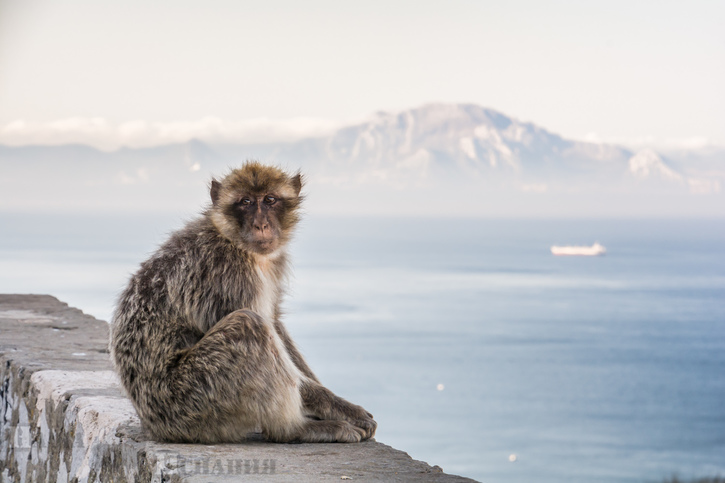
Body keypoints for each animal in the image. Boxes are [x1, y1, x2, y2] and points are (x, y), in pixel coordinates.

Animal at [111, 164, 378, 444]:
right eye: (246, 202)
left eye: (270, 200)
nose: (261, 225)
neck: (235, 242)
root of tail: (153, 425)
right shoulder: (230, 275)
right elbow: (262, 325)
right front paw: (338, 407)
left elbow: (276, 325)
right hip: (190, 400)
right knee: (249, 325)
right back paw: (294, 430)